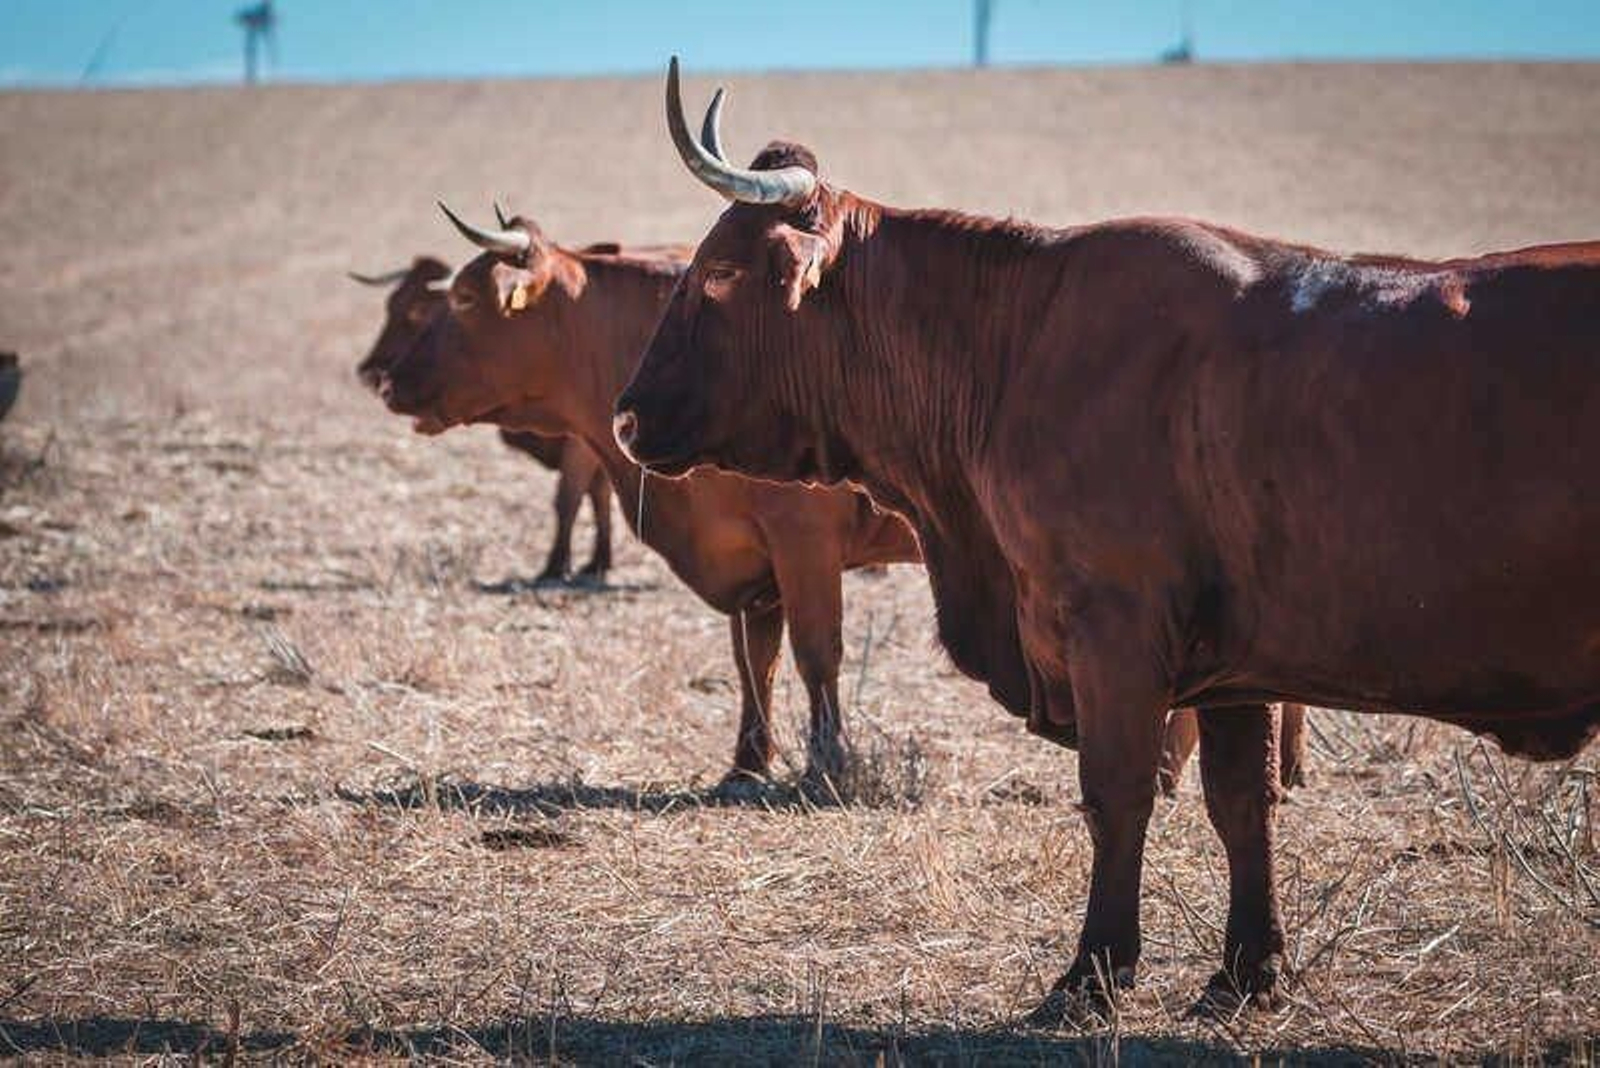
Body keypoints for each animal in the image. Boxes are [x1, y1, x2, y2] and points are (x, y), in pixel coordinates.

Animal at [352, 258, 613, 584]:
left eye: (415, 311)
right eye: (390, 304)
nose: (369, 371)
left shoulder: (582, 444)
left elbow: (569, 497)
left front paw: (556, 565)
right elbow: (599, 493)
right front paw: (598, 561)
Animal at [613, 59, 1600, 1011]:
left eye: (718, 274)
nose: (625, 417)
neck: (1015, 348)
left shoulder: (1114, 635)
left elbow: (1117, 797)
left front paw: (1093, 972)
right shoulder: (1237, 666)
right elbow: (1242, 804)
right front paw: (1246, 972)